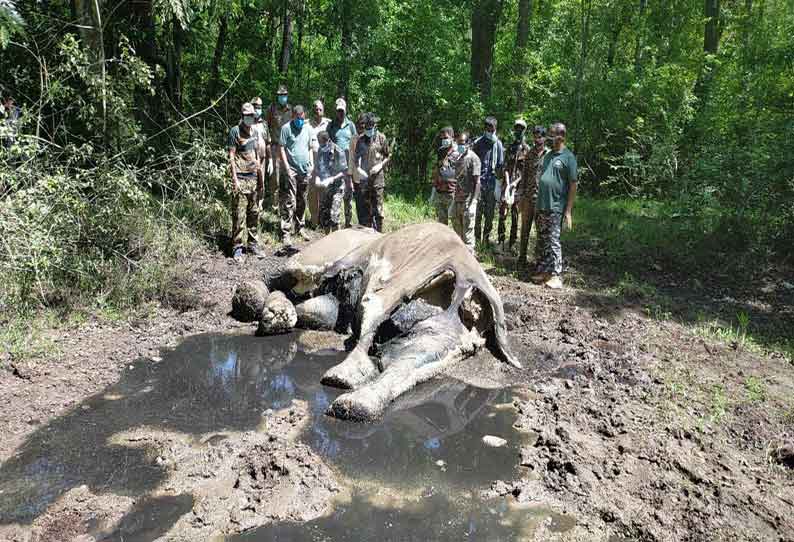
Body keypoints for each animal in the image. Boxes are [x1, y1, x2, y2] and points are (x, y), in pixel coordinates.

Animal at [262, 223, 516, 422]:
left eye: (469, 351)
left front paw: (352, 401)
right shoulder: (388, 290)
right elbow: (370, 321)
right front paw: (341, 380)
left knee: (311, 306)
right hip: (314, 257)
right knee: (275, 278)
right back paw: (266, 308)